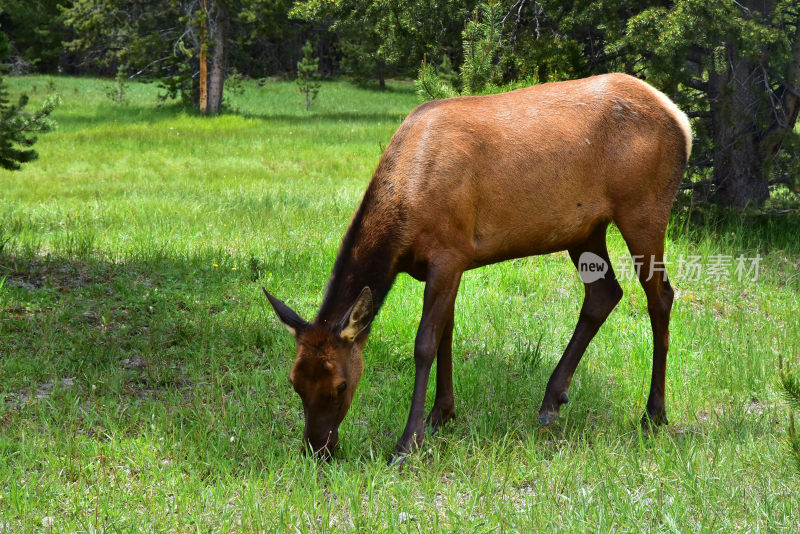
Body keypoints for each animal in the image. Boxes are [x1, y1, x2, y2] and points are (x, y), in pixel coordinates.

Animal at [266, 72, 692, 464]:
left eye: (340, 385)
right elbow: (446, 335)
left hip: (643, 208)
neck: (406, 216)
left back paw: (653, 413)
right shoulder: (449, 264)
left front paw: (408, 442)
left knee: (661, 296)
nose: (317, 448)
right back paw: (551, 400)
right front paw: (442, 414)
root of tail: (681, 119)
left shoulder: (449, 253)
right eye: (294, 382)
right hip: (585, 229)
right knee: (604, 293)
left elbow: (425, 344)